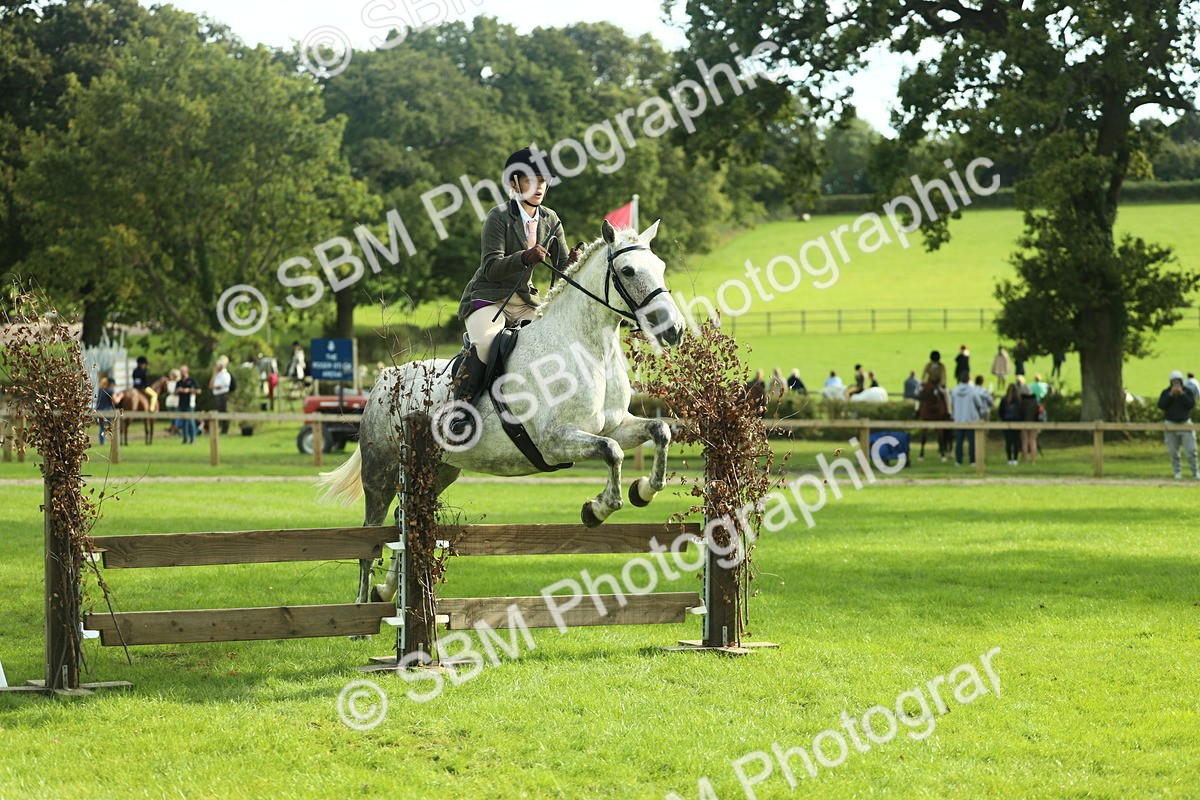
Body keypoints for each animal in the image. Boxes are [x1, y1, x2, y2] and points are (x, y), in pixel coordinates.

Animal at [316, 220, 686, 603]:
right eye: (628, 271)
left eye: (660, 267)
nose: (674, 330)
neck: (587, 350)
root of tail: (384, 379)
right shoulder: (556, 442)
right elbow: (611, 453)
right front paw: (596, 510)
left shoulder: (615, 426)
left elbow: (659, 431)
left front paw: (642, 490)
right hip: (382, 471)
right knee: (370, 535)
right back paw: (363, 603)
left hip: (437, 470)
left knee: (405, 517)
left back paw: (386, 590)